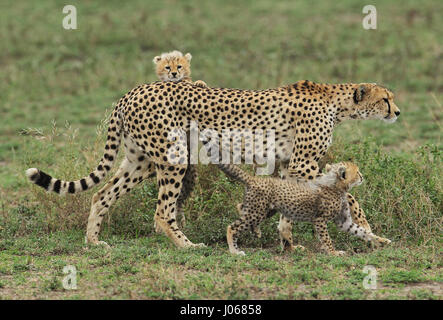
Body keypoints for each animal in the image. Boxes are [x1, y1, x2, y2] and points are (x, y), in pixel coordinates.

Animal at [27, 79, 402, 248]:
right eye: (385, 98)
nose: (397, 112)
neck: (336, 102)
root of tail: (133, 91)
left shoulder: (287, 164)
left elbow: (288, 202)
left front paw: (287, 241)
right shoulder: (304, 163)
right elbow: (349, 195)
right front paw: (370, 232)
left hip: (141, 161)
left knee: (101, 194)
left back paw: (93, 241)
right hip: (173, 157)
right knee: (162, 211)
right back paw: (186, 245)